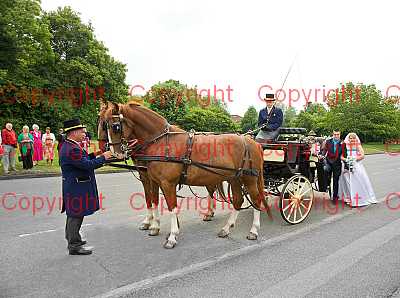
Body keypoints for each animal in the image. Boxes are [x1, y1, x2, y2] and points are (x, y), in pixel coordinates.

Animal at [99, 101, 268, 248]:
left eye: (115, 126)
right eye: (102, 124)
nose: (113, 152)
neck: (161, 142)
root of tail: (252, 141)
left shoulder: (167, 183)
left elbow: (171, 207)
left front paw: (172, 236)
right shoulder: (152, 180)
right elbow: (153, 201)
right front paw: (154, 226)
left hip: (249, 178)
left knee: (256, 200)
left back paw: (253, 230)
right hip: (235, 178)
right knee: (238, 200)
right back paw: (226, 228)